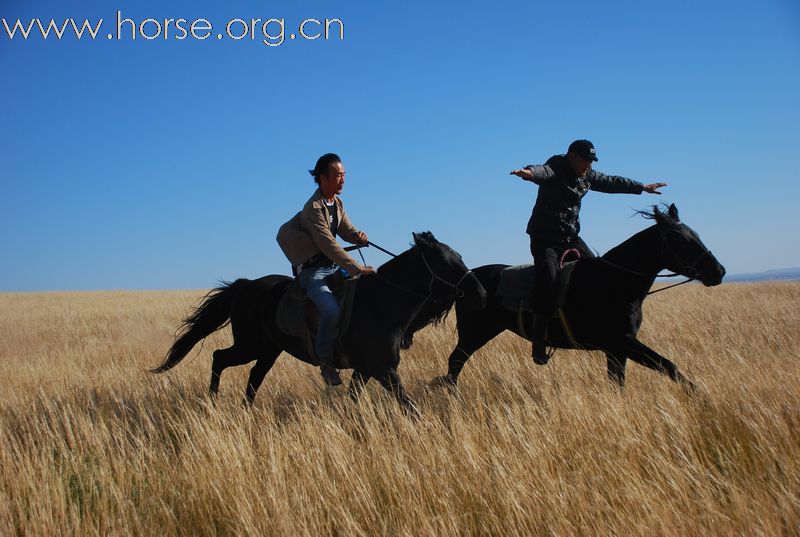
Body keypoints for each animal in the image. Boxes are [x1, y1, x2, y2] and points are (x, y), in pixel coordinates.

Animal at [152, 229, 484, 410]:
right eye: (444, 261)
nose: (479, 292)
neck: (382, 301)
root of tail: (245, 286)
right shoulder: (384, 370)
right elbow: (409, 406)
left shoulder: (365, 370)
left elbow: (355, 400)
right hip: (250, 346)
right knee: (219, 357)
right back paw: (212, 402)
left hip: (269, 350)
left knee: (253, 377)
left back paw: (245, 409)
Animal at [428, 205, 728, 390]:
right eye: (681, 239)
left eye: (695, 235)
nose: (718, 271)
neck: (614, 282)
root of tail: (467, 277)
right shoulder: (623, 342)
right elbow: (669, 366)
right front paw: (701, 398)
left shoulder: (617, 350)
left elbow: (619, 382)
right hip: (475, 333)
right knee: (455, 362)